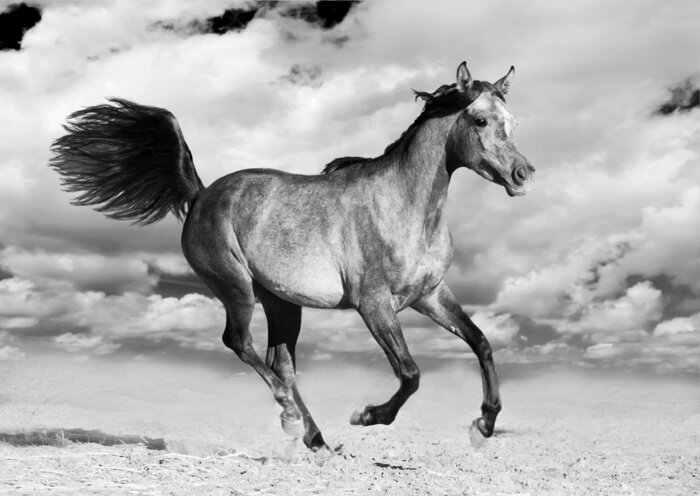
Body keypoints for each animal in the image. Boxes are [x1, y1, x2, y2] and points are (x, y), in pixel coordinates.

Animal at [50, 61, 535, 452]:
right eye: (480, 119)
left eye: (512, 121)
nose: (523, 175)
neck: (404, 206)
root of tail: (201, 193)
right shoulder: (374, 304)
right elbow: (411, 373)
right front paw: (366, 415)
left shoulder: (429, 295)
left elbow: (481, 343)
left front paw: (483, 426)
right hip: (237, 288)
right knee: (240, 344)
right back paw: (290, 416)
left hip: (282, 302)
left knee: (280, 362)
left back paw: (316, 439)